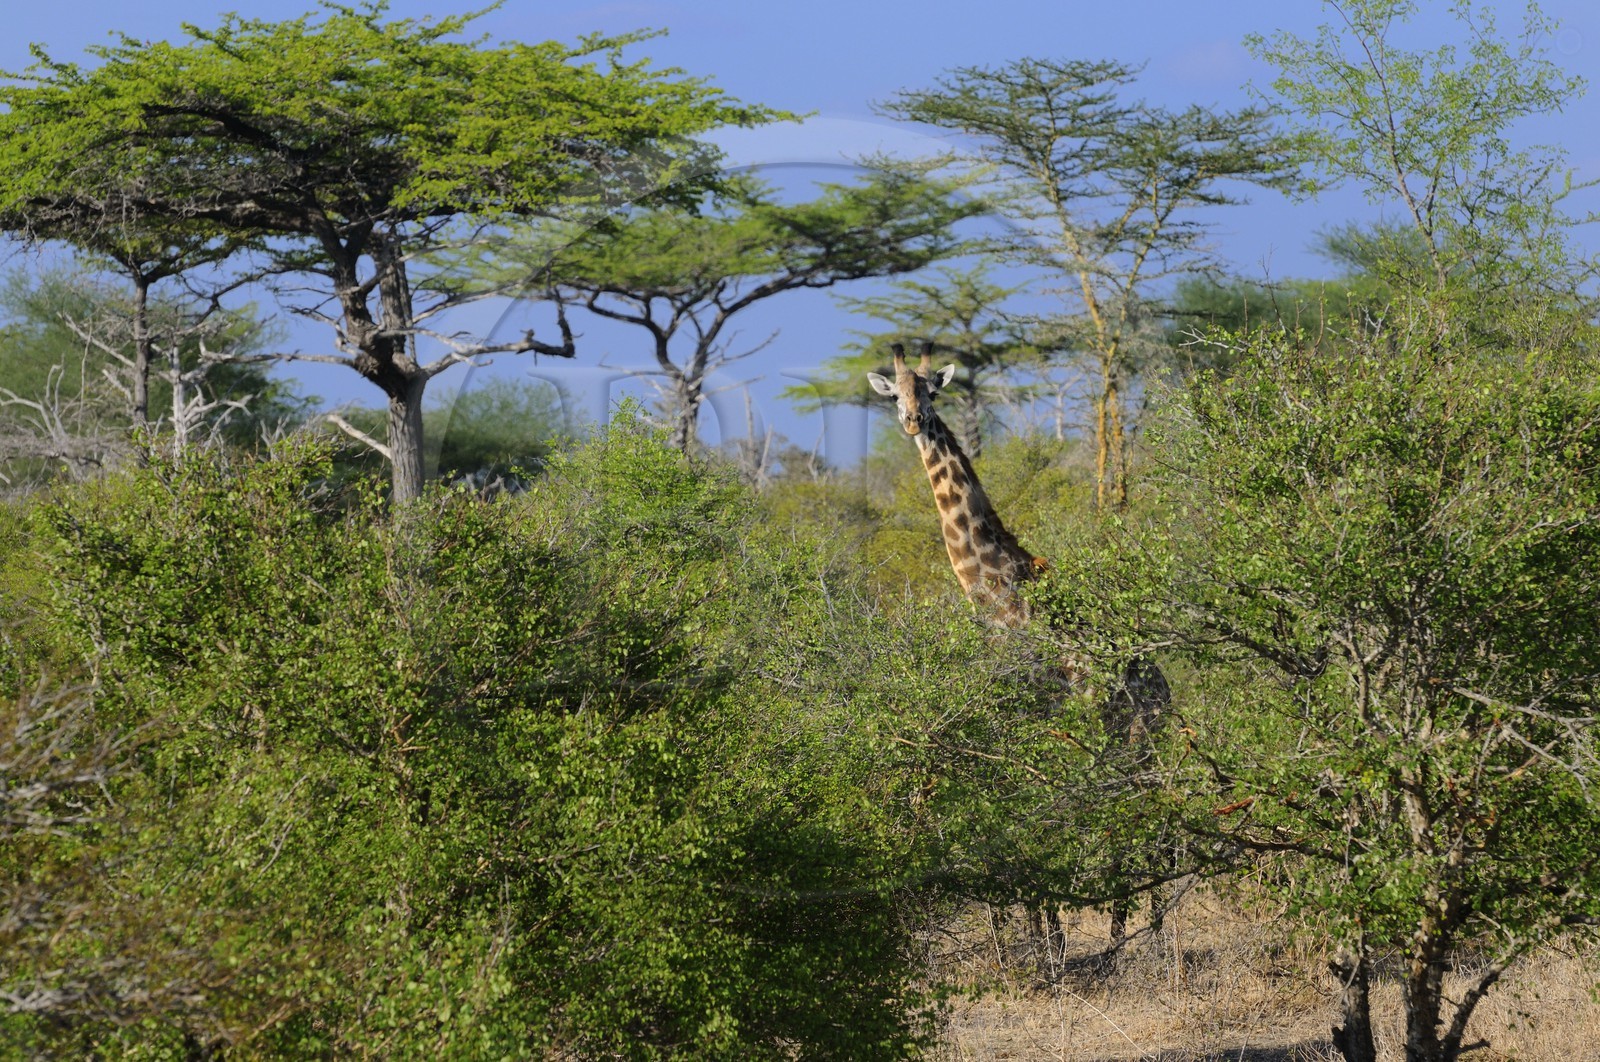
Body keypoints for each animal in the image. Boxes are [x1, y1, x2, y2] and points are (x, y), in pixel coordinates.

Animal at [867, 340, 1170, 955]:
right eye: (896, 394)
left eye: (931, 389)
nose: (914, 421)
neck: (997, 589)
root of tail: (1163, 688)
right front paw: (1037, 933)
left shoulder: (1036, 708)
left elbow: (1033, 812)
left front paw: (1044, 939)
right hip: (1136, 739)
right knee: (1141, 811)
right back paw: (1138, 929)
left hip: (1119, 732)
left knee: (1127, 812)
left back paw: (1129, 938)